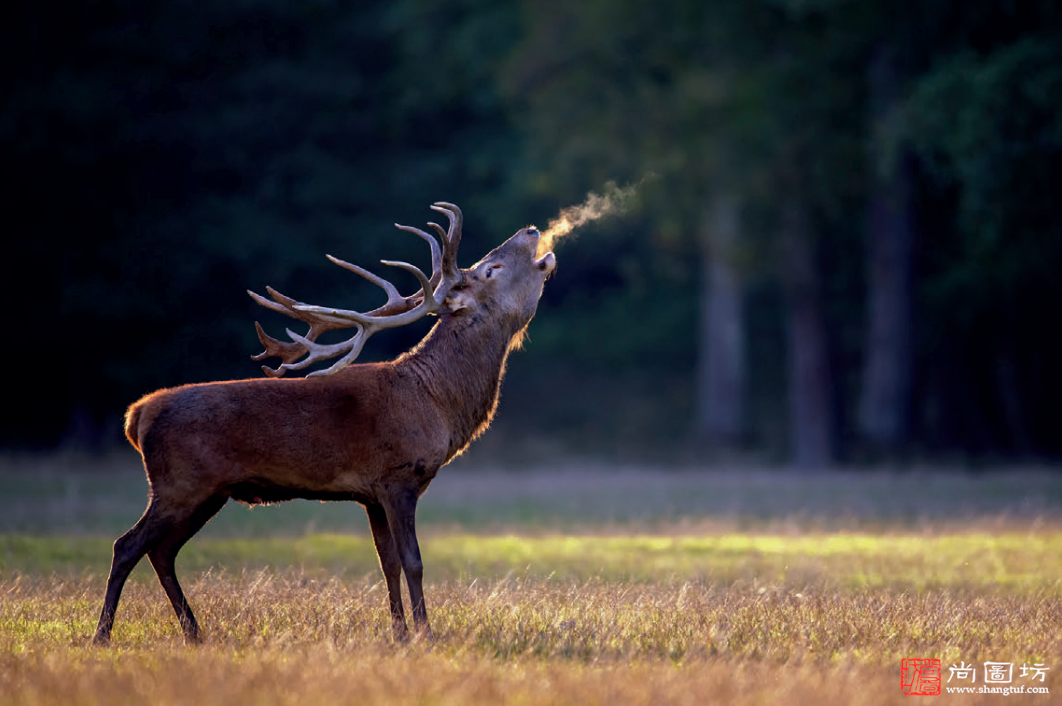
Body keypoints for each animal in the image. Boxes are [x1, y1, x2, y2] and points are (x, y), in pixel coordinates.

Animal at [92, 199, 560, 645]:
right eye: (490, 269)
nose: (531, 229)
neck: (436, 403)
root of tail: (137, 415)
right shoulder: (398, 477)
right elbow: (413, 562)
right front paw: (425, 634)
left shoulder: (371, 494)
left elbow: (387, 563)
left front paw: (399, 633)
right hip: (180, 483)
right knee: (126, 545)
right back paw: (103, 635)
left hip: (207, 493)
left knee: (162, 552)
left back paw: (193, 631)